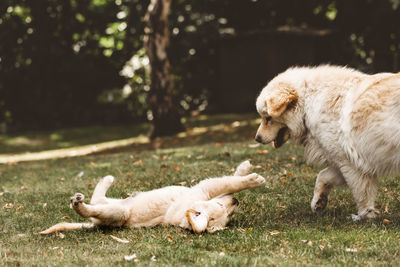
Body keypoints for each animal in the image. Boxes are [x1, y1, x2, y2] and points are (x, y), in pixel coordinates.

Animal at [39, 161, 266, 234]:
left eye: (229, 217)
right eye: (219, 205)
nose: (237, 203)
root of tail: (97, 224)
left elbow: (230, 182)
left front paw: (246, 173)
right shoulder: (206, 188)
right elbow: (230, 182)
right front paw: (251, 176)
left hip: (115, 209)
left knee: (95, 203)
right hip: (119, 209)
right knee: (93, 203)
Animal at [256, 65, 400, 220]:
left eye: (268, 118)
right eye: (264, 117)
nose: (257, 138)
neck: (308, 103)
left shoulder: (351, 165)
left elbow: (361, 194)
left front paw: (364, 216)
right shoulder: (341, 163)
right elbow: (322, 176)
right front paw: (318, 201)